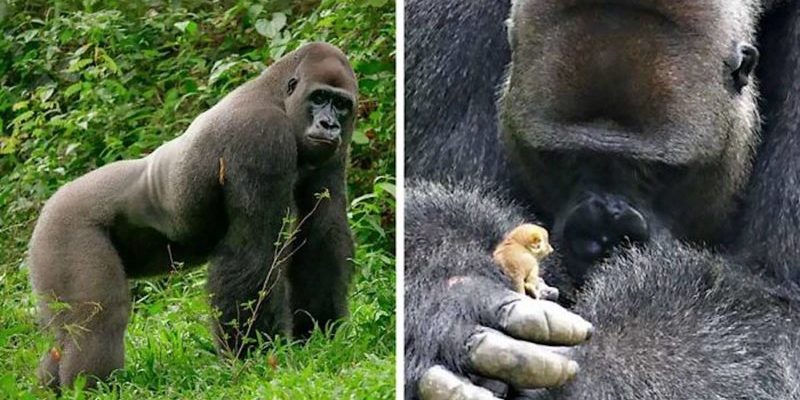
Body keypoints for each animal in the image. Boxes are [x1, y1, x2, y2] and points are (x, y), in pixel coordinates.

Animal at [28, 42, 358, 390]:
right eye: (319, 98)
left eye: (341, 104)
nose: (329, 125)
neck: (278, 95)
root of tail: (52, 203)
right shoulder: (261, 136)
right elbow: (254, 253)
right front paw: (255, 357)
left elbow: (322, 233)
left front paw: (319, 332)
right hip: (65, 226)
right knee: (99, 320)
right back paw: (94, 388)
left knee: (65, 336)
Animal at [406, 0, 800, 400]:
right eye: (564, 160)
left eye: (654, 170)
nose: (603, 235)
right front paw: (451, 289)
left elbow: (782, 310)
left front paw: (599, 369)